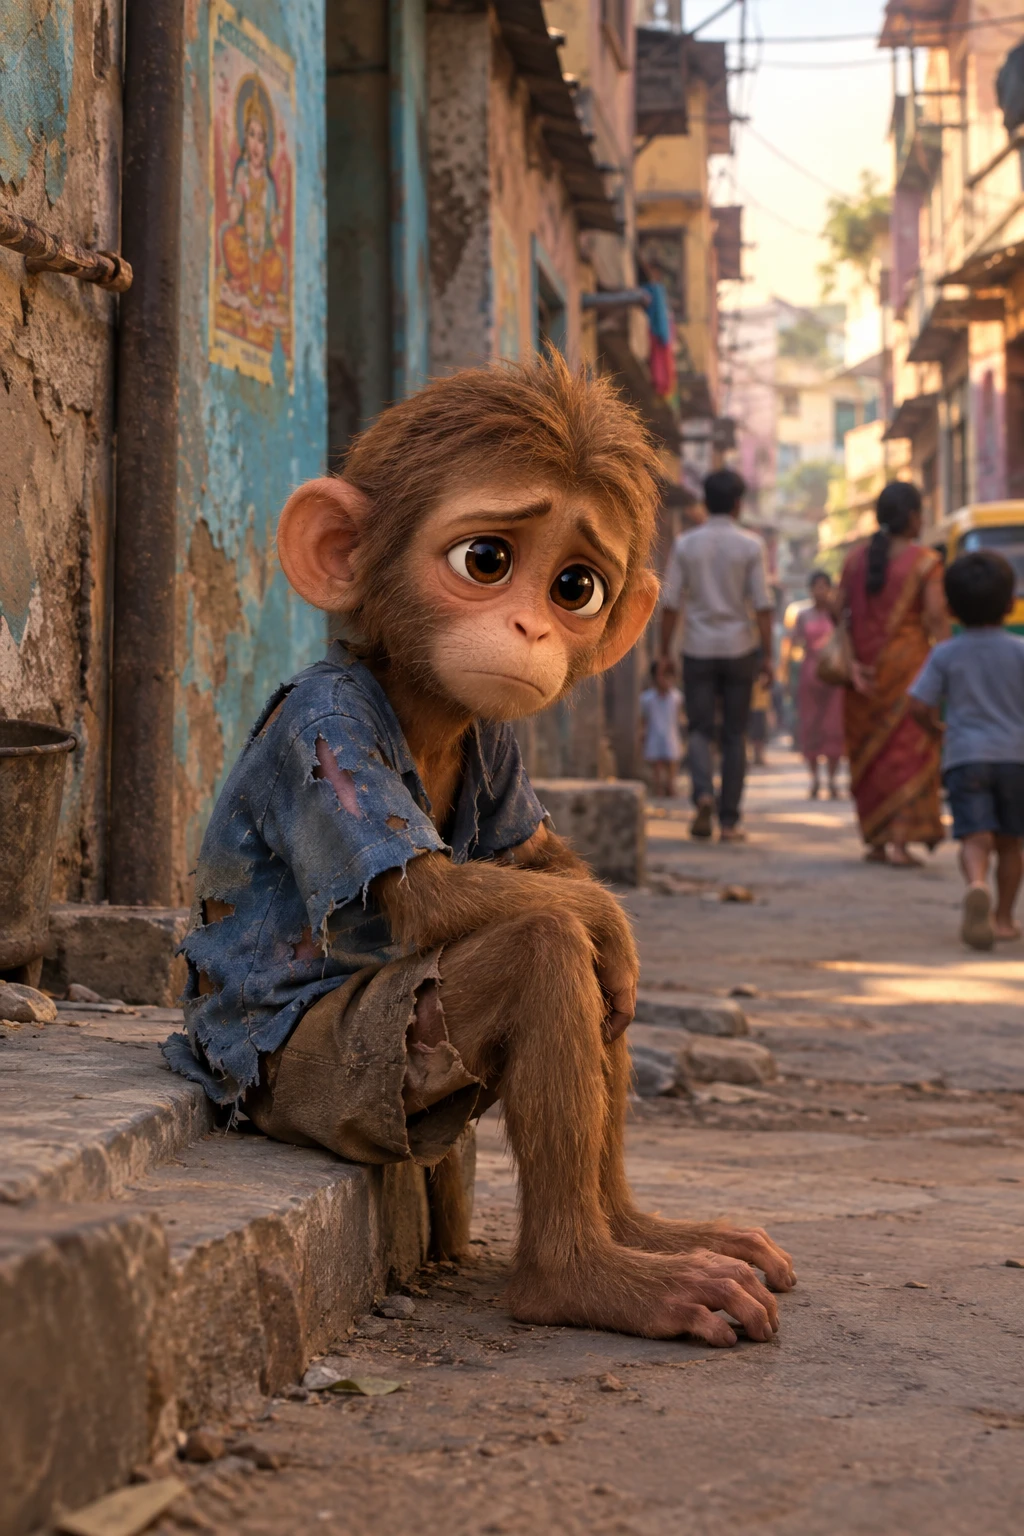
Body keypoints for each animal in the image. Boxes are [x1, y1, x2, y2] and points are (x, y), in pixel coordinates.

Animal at [163, 355, 795, 1346]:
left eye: (576, 586)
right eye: (486, 560)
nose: (532, 629)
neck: (416, 702)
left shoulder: (497, 746)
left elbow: (541, 865)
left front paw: (610, 921)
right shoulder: (328, 734)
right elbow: (436, 895)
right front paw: (609, 922)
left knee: (596, 990)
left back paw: (641, 1230)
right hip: (354, 1070)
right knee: (546, 947)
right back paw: (582, 1279)